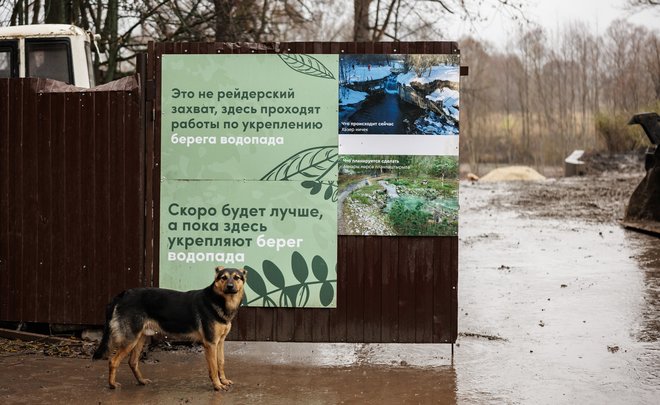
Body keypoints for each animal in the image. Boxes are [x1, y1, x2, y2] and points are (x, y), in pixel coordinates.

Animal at [91, 264, 246, 390]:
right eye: (223, 278)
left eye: (236, 278)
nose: (230, 287)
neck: (218, 300)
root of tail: (123, 294)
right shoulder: (210, 344)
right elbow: (213, 367)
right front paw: (217, 385)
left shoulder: (219, 342)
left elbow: (221, 362)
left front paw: (223, 381)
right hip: (131, 339)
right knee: (113, 361)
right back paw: (112, 385)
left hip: (140, 338)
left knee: (132, 362)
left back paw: (141, 381)